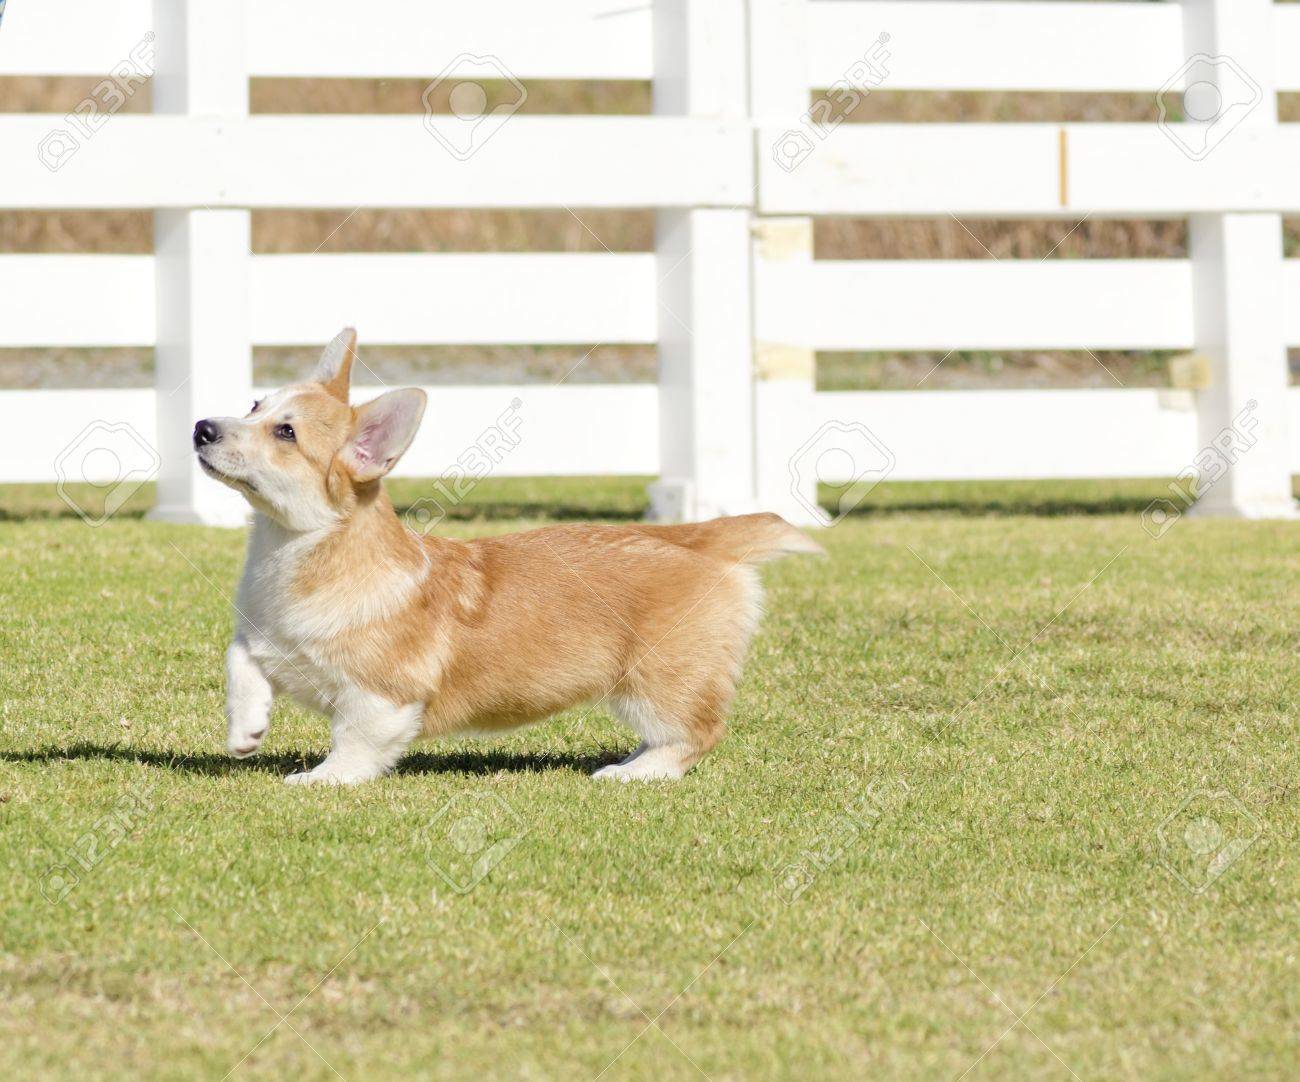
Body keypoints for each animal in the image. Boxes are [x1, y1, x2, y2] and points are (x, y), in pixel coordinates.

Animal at [192, 328, 823, 784]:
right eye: (254, 404)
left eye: (286, 433)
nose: (201, 426)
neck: (294, 549)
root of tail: (699, 537)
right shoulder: (260, 641)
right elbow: (239, 665)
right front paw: (246, 732)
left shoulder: (383, 695)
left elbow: (355, 743)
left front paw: (320, 780)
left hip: (657, 679)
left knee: (695, 733)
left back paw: (633, 773)